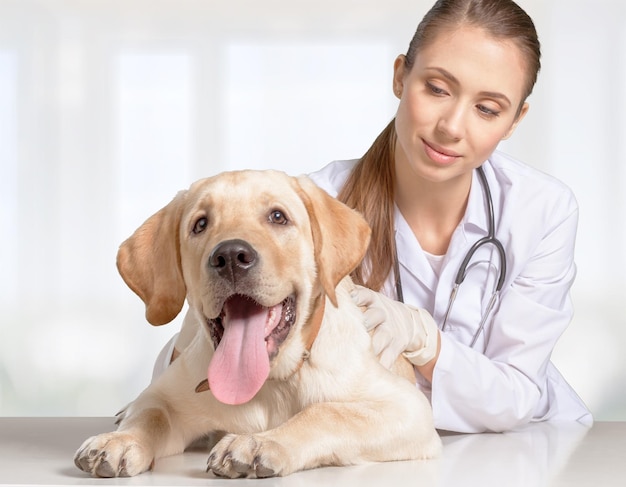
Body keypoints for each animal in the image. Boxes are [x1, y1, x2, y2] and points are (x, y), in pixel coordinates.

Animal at [74, 172, 438, 480]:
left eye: (278, 217)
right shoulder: (168, 395)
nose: (231, 257)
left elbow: (327, 413)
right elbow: (151, 412)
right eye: (200, 224)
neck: (270, 384)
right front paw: (120, 439)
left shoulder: (407, 408)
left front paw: (259, 443)